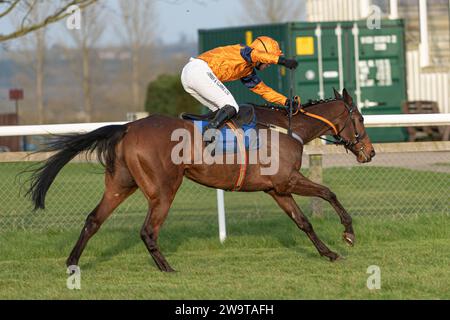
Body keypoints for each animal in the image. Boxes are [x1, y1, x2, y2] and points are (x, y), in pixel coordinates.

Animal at [26, 88, 374, 272]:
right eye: (360, 118)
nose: (369, 152)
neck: (287, 129)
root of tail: (127, 127)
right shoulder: (288, 181)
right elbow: (328, 193)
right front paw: (348, 233)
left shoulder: (277, 189)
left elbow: (304, 222)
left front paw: (328, 253)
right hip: (164, 188)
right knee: (147, 230)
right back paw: (167, 268)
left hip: (121, 184)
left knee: (93, 220)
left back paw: (73, 263)